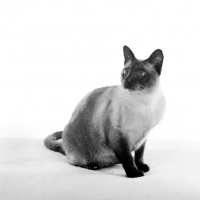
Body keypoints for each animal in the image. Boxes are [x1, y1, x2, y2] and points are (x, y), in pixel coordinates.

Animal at [44, 45, 166, 178]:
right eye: (125, 72)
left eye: (140, 74)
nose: (126, 81)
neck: (145, 102)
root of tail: (64, 147)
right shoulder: (118, 137)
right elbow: (127, 158)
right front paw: (134, 173)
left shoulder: (143, 138)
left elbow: (139, 156)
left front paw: (141, 167)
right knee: (76, 162)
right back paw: (92, 166)